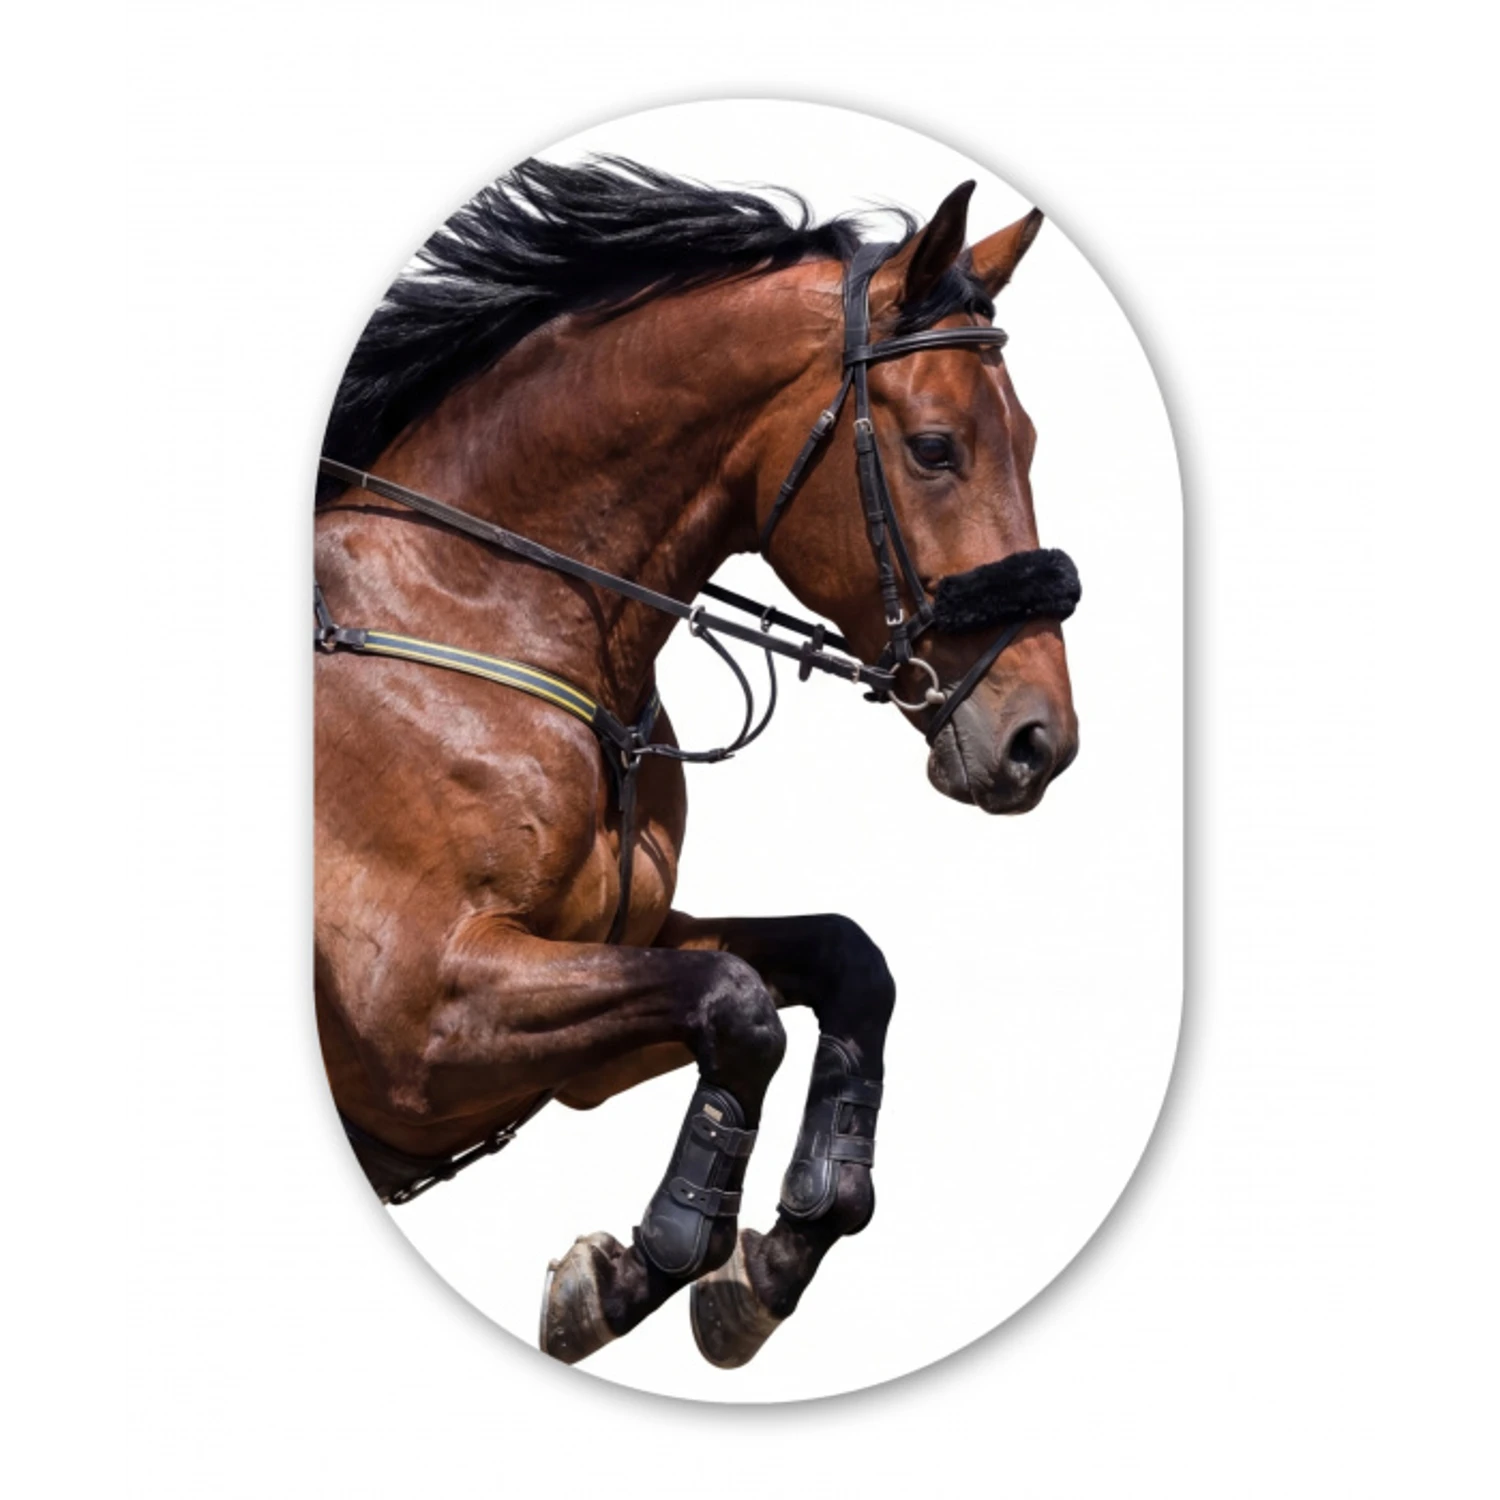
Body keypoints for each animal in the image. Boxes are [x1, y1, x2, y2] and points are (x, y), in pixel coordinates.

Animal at [314, 158, 1079, 1368]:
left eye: (1035, 440)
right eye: (935, 448)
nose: (1039, 740)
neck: (481, 610)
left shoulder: (580, 1013)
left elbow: (840, 961)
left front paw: (773, 1254)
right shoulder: (419, 1022)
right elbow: (740, 1006)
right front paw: (651, 1260)